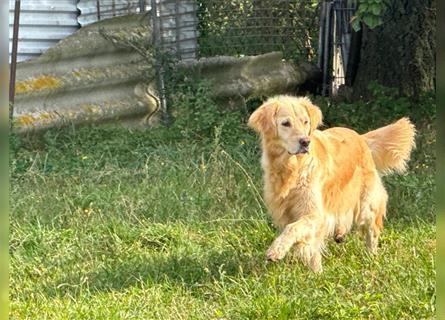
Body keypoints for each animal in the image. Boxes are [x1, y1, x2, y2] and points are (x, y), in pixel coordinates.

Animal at [248, 95, 414, 272]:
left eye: (305, 122)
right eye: (286, 123)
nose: (305, 142)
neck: (291, 167)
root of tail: (360, 137)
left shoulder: (315, 214)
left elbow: (293, 229)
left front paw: (280, 252)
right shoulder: (286, 212)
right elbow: (302, 238)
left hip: (366, 204)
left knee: (372, 231)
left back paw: (372, 257)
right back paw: (340, 234)